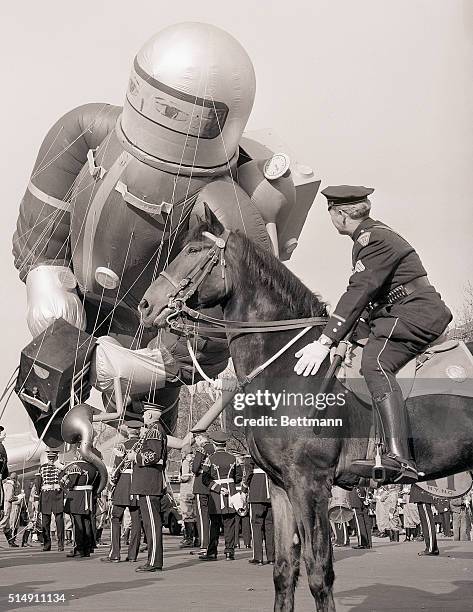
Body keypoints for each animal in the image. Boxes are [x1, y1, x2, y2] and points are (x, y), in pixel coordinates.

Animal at [136, 208, 472, 608]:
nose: (146, 305)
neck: (285, 365)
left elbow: (318, 571)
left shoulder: (311, 484)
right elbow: (284, 570)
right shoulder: (283, 487)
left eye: (193, 250)